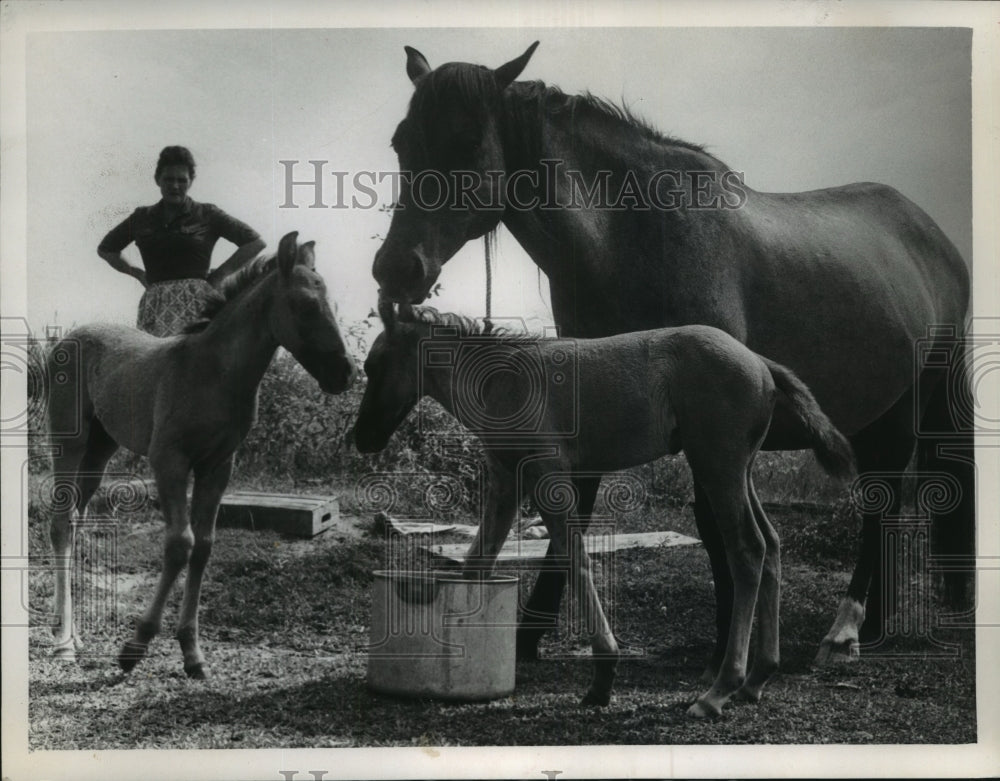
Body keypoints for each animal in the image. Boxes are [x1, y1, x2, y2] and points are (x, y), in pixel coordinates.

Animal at [45, 231, 357, 678]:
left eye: (330, 302)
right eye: (305, 304)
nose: (346, 373)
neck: (212, 372)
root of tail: (69, 338)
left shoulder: (218, 466)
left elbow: (205, 546)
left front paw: (192, 653)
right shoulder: (169, 461)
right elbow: (180, 543)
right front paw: (136, 646)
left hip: (100, 448)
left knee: (76, 519)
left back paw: (73, 634)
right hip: (69, 441)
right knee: (60, 522)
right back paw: (63, 643)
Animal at [354, 303, 854, 715]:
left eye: (375, 365)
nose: (362, 438)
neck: (502, 379)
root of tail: (760, 363)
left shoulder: (548, 475)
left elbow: (575, 559)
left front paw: (603, 677)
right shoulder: (506, 477)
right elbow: (479, 562)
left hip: (717, 465)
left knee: (748, 549)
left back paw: (718, 692)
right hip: (739, 470)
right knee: (771, 543)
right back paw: (757, 678)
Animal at [371, 43, 974, 665]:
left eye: (467, 141)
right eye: (402, 142)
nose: (395, 269)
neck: (637, 238)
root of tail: (938, 243)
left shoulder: (709, 419)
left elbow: (712, 521)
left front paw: (731, 627)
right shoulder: (583, 398)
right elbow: (578, 508)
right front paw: (532, 630)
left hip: (909, 407)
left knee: (881, 502)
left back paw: (847, 627)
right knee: (888, 506)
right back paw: (875, 622)